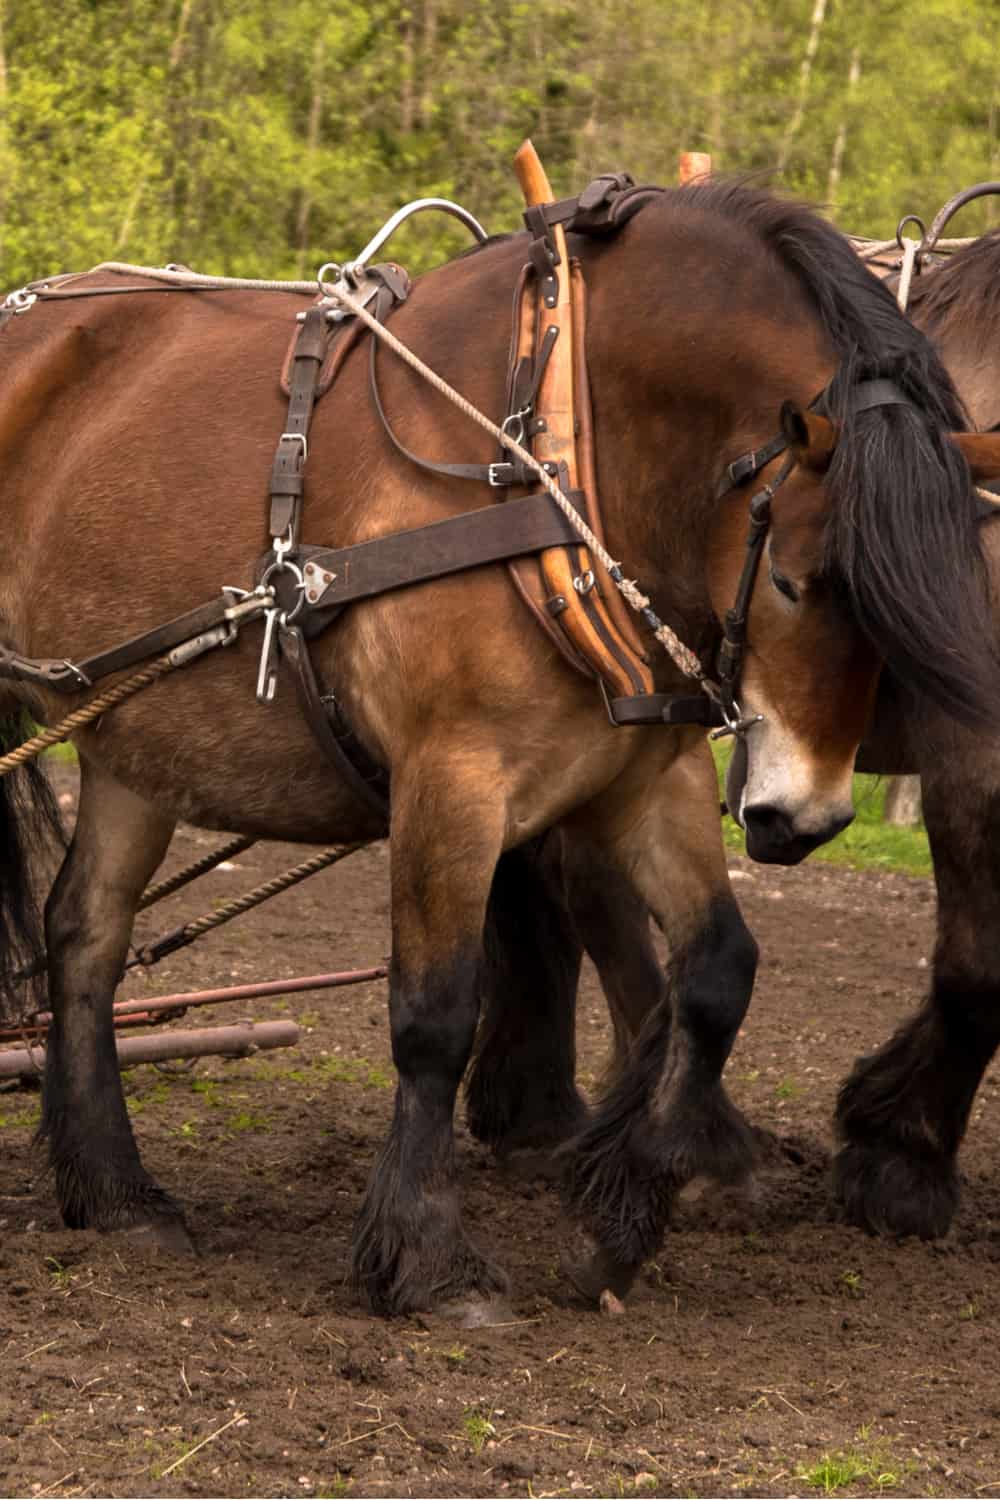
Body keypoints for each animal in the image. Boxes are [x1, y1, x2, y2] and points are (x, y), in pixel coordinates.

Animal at [1, 179, 998, 1321]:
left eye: (927, 595)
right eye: (793, 581)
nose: (805, 820)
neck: (561, 442)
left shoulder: (645, 773)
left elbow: (716, 969)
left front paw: (621, 1216)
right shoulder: (451, 775)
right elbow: (435, 1013)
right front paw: (428, 1257)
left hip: (134, 739)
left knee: (83, 933)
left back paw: (116, 1194)